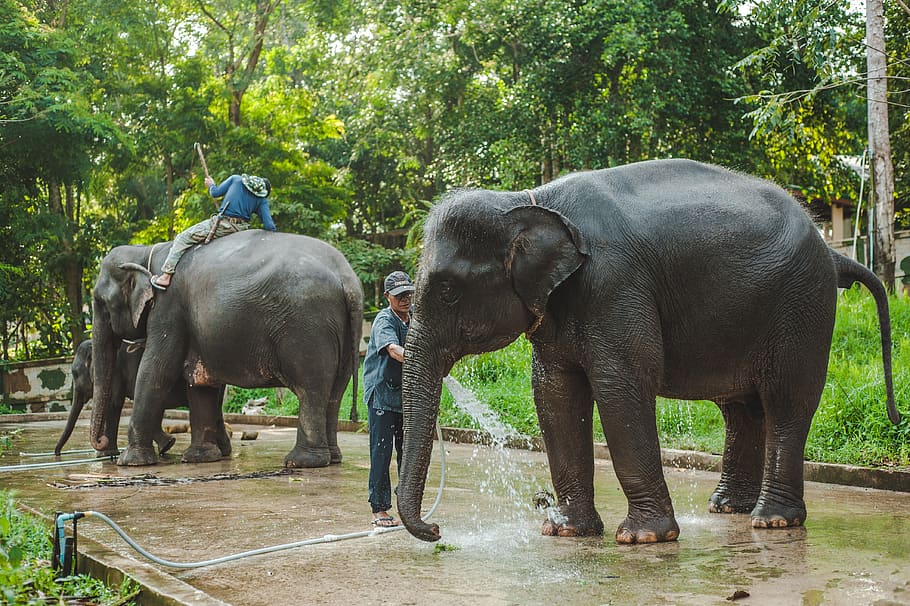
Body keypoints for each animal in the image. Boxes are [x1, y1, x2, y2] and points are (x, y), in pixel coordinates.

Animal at [91, 229, 363, 467]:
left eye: (101, 302)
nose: (102, 443)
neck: (146, 252)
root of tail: (347, 279)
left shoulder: (168, 308)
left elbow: (156, 371)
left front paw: (130, 462)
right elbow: (200, 384)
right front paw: (201, 458)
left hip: (307, 329)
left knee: (311, 389)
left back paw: (301, 462)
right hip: (344, 332)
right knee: (335, 392)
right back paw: (332, 458)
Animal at [397, 158, 900, 545]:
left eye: (447, 291)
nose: (436, 530)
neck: (528, 200)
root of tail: (832, 252)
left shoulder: (615, 285)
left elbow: (620, 388)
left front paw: (641, 537)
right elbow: (554, 393)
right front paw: (564, 531)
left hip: (802, 305)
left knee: (786, 400)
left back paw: (772, 520)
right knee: (741, 408)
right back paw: (728, 509)